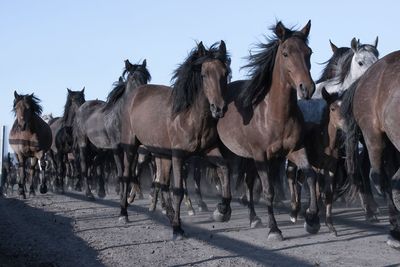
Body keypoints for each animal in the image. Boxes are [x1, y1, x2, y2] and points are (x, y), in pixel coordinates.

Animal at [73, 59, 150, 200]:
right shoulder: (116, 148)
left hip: (99, 149)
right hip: (83, 144)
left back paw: (101, 192)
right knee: (84, 166)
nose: (143, 94)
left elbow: (131, 171)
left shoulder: (131, 149)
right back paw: (89, 193)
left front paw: (131, 195)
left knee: (96, 166)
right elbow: (121, 172)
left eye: (146, 77)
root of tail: (81, 108)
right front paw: (123, 195)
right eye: (133, 78)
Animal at [120, 40, 230, 240]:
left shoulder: (209, 150)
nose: (219, 109)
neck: (189, 116)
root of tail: (134, 94)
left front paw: (222, 211)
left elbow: (224, 169)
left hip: (161, 153)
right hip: (131, 146)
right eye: (204, 75)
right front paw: (178, 229)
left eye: (225, 73)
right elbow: (177, 190)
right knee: (127, 175)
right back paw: (124, 213)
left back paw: (168, 214)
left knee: (161, 183)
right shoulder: (178, 155)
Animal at [216, 20, 318, 243]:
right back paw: (222, 209)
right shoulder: (261, 155)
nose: (307, 88)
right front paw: (274, 230)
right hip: (227, 150)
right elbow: (268, 191)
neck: (275, 115)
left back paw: (253, 218)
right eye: (286, 53)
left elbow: (311, 175)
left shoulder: (294, 150)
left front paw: (311, 219)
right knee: (223, 172)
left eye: (309, 52)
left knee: (247, 182)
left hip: (248, 157)